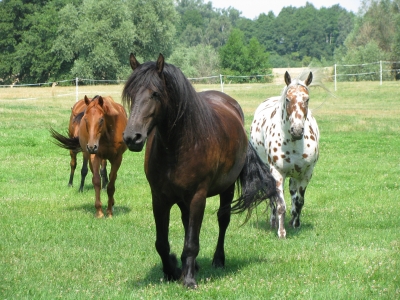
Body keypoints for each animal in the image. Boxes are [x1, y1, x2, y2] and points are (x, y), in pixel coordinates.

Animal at [122, 54, 278, 288]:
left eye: (155, 93)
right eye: (131, 94)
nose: (133, 137)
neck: (178, 147)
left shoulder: (198, 197)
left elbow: (192, 242)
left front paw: (187, 279)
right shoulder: (159, 198)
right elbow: (162, 242)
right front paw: (172, 270)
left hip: (226, 189)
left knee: (223, 220)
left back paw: (217, 260)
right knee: (187, 223)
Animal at [252, 71, 320, 238]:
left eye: (307, 99)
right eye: (288, 99)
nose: (297, 130)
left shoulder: (306, 174)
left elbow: (299, 201)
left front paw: (295, 224)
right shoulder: (277, 173)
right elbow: (280, 204)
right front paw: (281, 232)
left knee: (293, 196)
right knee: (273, 198)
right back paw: (273, 221)